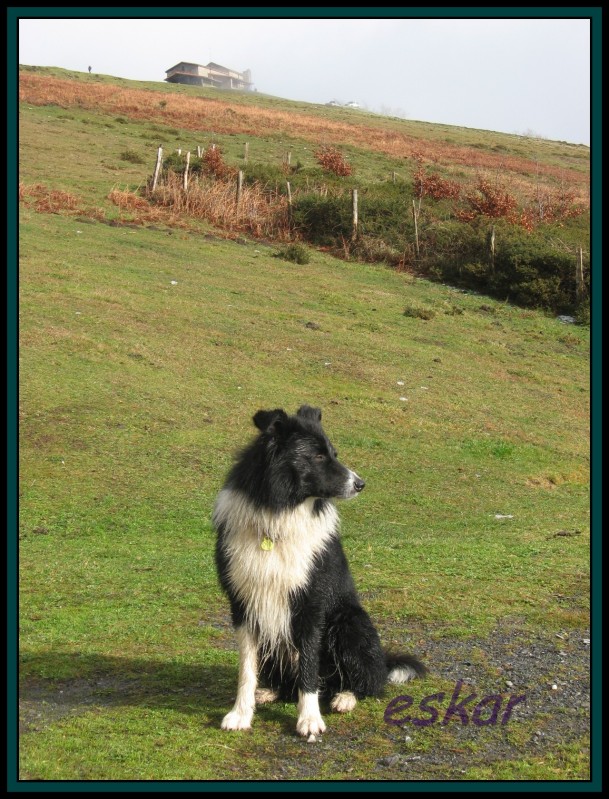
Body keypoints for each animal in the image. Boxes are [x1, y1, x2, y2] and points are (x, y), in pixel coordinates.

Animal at [214, 406, 428, 736]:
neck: (279, 513)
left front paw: (310, 720)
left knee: (368, 682)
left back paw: (345, 698)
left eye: (334, 453)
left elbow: (309, 668)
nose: (360, 483)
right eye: (317, 456)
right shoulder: (243, 603)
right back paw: (269, 692)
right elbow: (247, 669)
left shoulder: (311, 604)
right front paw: (240, 714)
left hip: (348, 623)